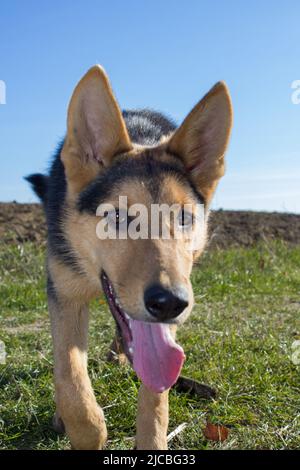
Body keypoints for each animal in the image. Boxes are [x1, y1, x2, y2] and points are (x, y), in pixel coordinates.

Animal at [26, 64, 232, 450]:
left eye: (184, 217)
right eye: (118, 216)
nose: (170, 303)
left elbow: (156, 397)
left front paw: (152, 440)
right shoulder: (64, 294)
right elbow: (70, 376)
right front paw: (86, 429)